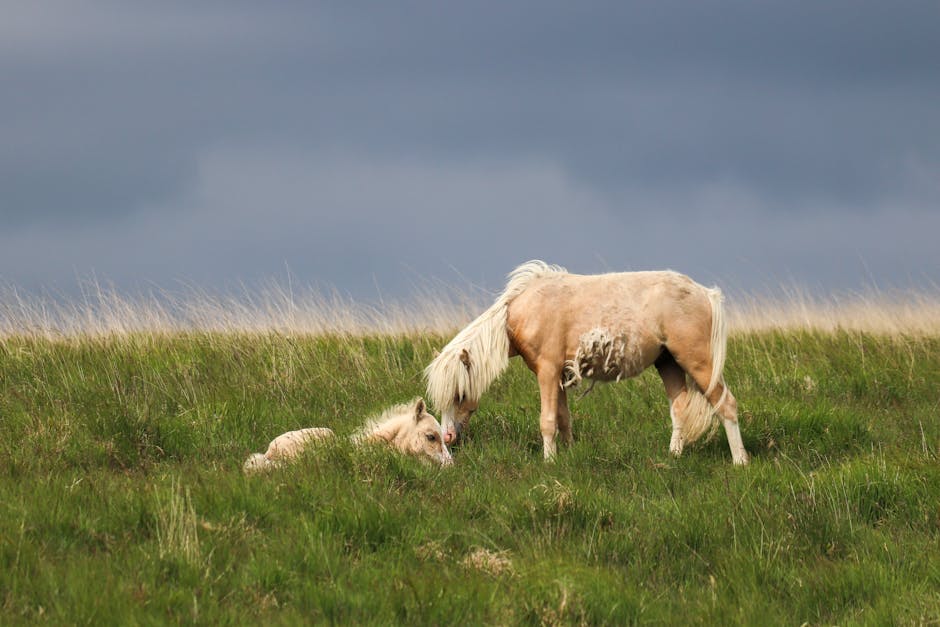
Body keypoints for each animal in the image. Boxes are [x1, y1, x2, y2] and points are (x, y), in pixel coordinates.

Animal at [426, 262, 748, 466]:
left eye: (460, 394)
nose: (448, 436)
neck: (524, 310)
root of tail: (705, 293)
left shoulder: (547, 372)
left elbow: (547, 421)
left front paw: (549, 461)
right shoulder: (560, 375)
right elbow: (563, 418)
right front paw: (567, 453)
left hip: (698, 362)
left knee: (726, 405)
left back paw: (740, 461)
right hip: (668, 363)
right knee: (680, 408)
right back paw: (674, 456)